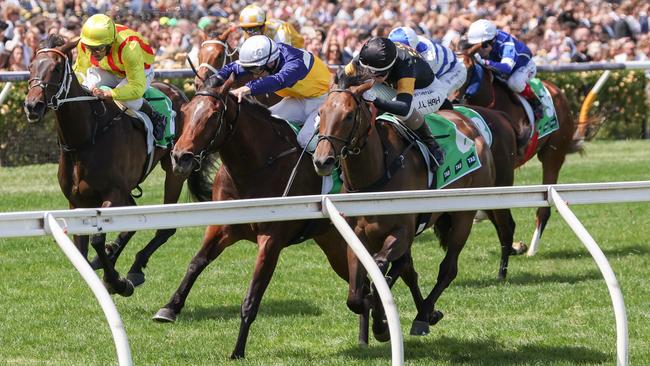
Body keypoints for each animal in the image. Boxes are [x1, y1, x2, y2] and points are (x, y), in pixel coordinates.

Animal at [22, 35, 189, 296]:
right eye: (30, 66)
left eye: (57, 68)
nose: (33, 106)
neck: (85, 139)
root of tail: (176, 89)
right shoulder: (77, 201)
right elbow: (83, 245)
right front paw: (105, 268)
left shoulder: (113, 192)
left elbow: (98, 239)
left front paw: (116, 282)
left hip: (175, 169)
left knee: (166, 227)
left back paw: (135, 268)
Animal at [308, 72, 496, 340]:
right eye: (321, 112)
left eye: (349, 115)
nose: (322, 160)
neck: (376, 176)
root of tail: (468, 122)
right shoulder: (357, 235)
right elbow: (356, 295)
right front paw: (377, 315)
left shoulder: (403, 232)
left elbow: (380, 269)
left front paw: (381, 324)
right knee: (408, 270)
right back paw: (427, 313)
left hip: (463, 216)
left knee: (448, 268)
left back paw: (422, 316)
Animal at [454, 50, 584, 252]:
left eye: (468, 71)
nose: (452, 98)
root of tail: (557, 90)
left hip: (553, 153)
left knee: (545, 206)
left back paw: (532, 249)